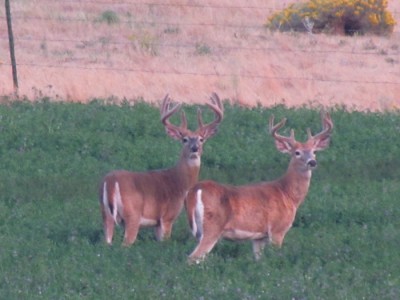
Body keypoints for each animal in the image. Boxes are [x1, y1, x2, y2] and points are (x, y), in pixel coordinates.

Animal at [99, 93, 223, 246]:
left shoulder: (157, 223)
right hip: (132, 214)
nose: (195, 148)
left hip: (105, 214)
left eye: (201, 139)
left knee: (107, 241)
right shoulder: (167, 217)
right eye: (184, 139)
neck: (180, 181)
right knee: (126, 243)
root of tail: (110, 182)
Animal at [186, 110, 332, 262]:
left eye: (314, 151)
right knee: (192, 258)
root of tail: (196, 190)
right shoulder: (278, 229)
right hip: (212, 227)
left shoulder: (259, 237)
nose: (312, 162)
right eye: (297, 152)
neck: (287, 194)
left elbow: (258, 260)